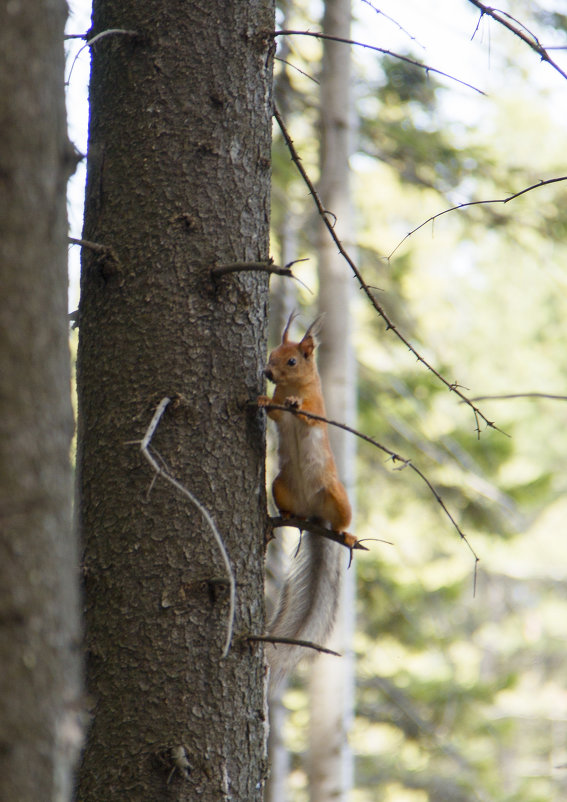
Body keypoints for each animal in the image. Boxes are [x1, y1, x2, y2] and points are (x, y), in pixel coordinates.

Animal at [260, 312, 352, 680]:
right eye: (271, 353)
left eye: (292, 361)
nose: (267, 374)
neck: (293, 387)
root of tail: (314, 516)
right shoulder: (278, 409)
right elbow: (274, 412)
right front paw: (264, 399)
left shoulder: (318, 407)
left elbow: (307, 413)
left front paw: (295, 404)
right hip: (279, 486)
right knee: (290, 509)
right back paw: (288, 517)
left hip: (336, 497)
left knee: (343, 521)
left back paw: (347, 535)